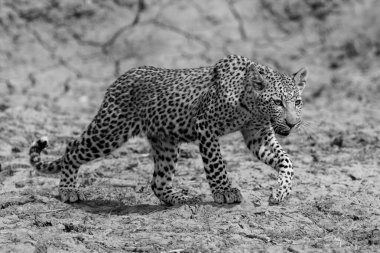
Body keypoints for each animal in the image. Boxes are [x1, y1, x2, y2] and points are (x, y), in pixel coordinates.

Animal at [29, 54, 308, 205]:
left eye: (297, 102)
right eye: (277, 102)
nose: (293, 123)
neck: (252, 106)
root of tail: (119, 79)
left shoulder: (258, 135)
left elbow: (287, 161)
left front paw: (281, 192)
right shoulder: (205, 125)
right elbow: (216, 163)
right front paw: (225, 191)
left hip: (165, 142)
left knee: (158, 181)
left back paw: (178, 199)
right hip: (109, 131)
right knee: (72, 148)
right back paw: (67, 190)